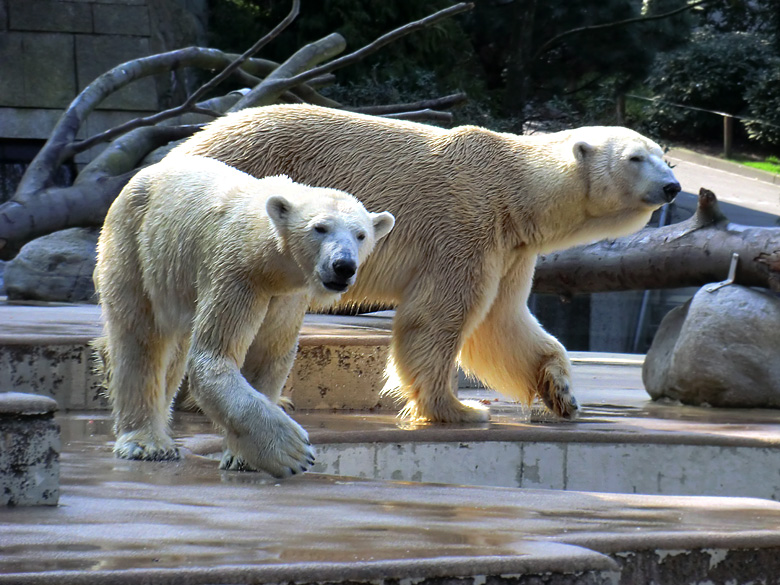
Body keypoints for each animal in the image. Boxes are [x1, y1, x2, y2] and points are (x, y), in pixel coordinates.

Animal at [93, 152, 394, 474]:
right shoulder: (237, 274)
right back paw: (146, 443)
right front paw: (291, 451)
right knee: (140, 339)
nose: (343, 266)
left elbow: (268, 355)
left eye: (361, 235)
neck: (268, 259)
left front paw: (243, 457)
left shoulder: (286, 297)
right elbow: (214, 357)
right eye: (320, 228)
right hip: (135, 247)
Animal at [174, 105, 680, 422]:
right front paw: (461, 409)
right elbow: (440, 316)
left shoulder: (512, 248)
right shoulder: (466, 225)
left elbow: (503, 322)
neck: (514, 190)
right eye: (636, 157)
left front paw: (564, 395)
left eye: (664, 156)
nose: (673, 187)